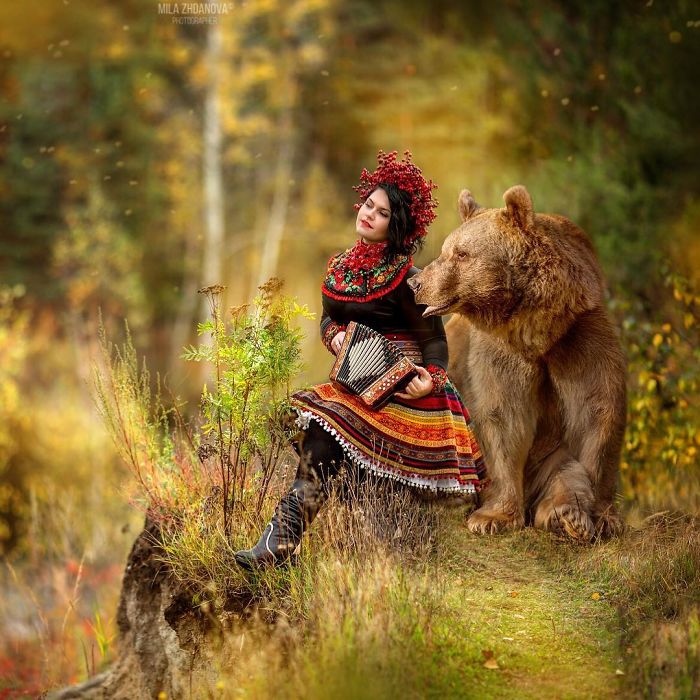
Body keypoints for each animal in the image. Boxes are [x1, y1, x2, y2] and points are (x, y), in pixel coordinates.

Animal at [407, 185, 626, 540]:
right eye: (447, 250)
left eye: (462, 254)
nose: (416, 284)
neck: (538, 331)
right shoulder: (499, 352)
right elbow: (503, 415)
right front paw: (492, 517)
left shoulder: (581, 340)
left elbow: (597, 413)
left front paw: (604, 517)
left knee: (564, 473)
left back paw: (567, 515)